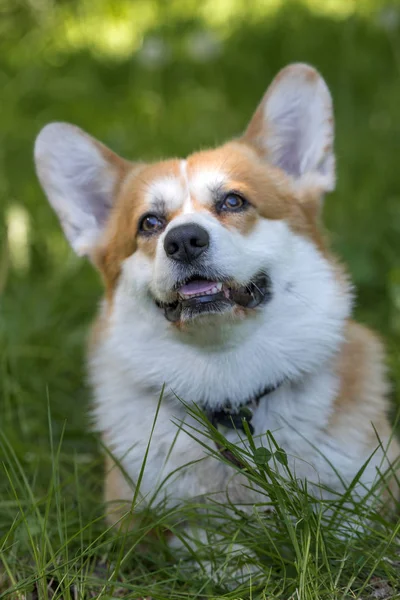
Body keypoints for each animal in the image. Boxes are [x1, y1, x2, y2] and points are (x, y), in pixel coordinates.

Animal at [36, 62, 398, 552]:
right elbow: (211, 546)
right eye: (150, 223)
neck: (226, 378)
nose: (184, 240)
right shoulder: (141, 523)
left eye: (233, 200)